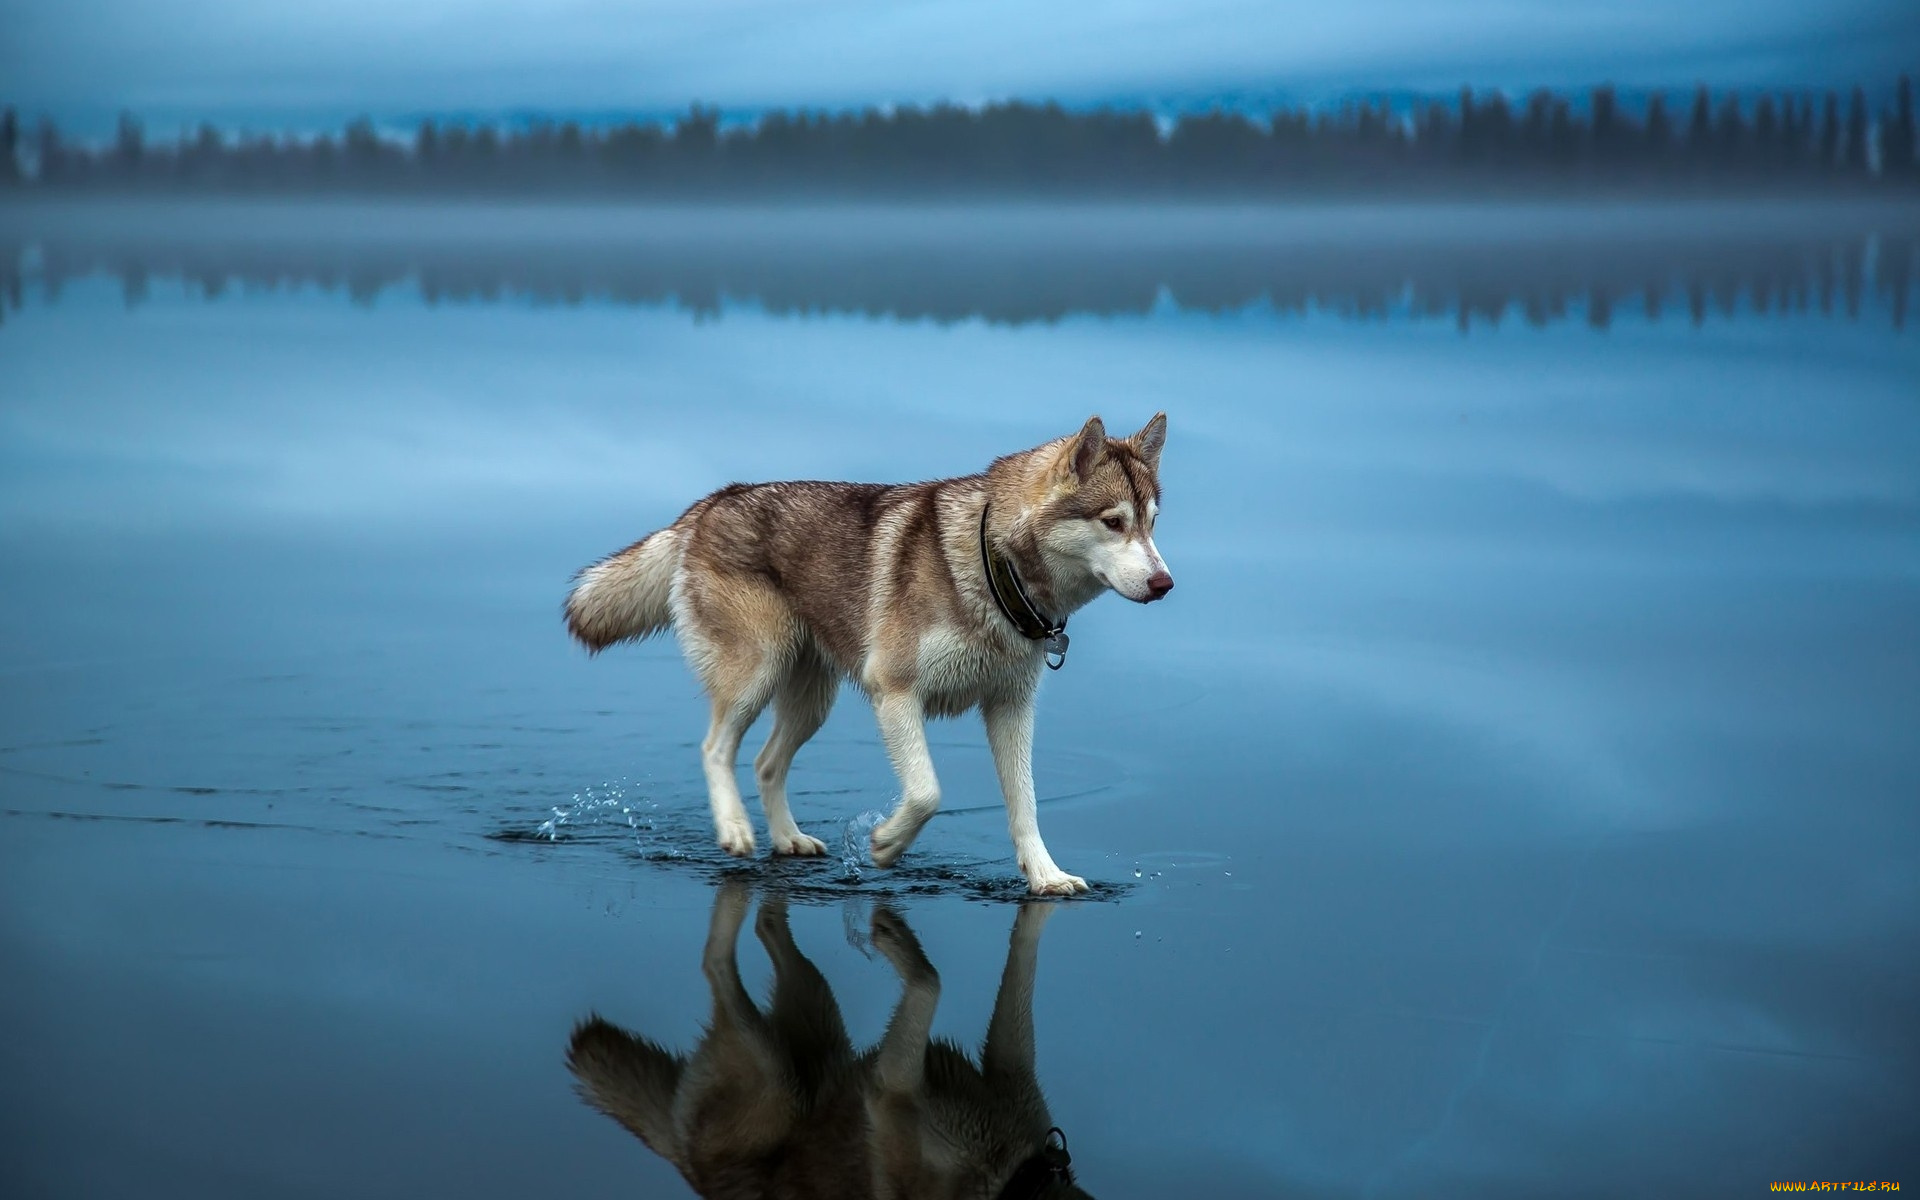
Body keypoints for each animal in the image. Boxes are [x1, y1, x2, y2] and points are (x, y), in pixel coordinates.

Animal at [560, 410, 1175, 890]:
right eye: (1113, 522)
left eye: (1151, 525)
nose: (1165, 583)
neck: (993, 569)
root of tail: (714, 500)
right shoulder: (895, 692)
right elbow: (927, 792)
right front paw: (884, 844)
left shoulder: (1010, 708)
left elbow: (1024, 805)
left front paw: (1046, 877)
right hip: (756, 674)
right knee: (716, 748)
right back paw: (734, 829)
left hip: (812, 701)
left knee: (765, 763)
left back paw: (787, 839)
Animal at [560, 879, 1090, 1198]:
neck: (1014, 1177)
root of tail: (686, 1165)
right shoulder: (891, 1089)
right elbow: (931, 981)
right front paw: (893, 937)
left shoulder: (1010, 1067)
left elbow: (1022, 963)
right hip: (777, 1073)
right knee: (715, 962)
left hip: (817, 1011)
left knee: (766, 926)